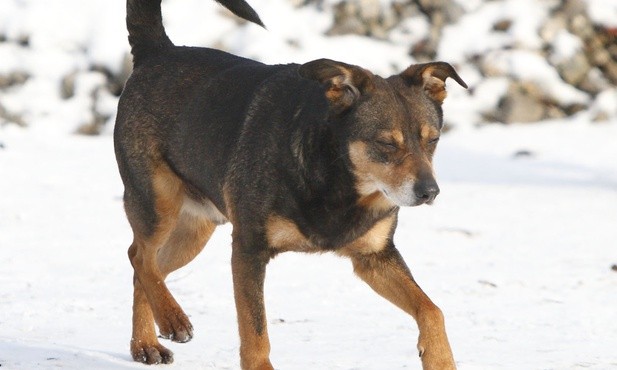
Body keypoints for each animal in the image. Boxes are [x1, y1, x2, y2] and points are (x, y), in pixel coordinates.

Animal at [112, 1, 466, 368]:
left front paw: (439, 358)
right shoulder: (249, 249)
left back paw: (146, 343)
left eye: (433, 140)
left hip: (196, 228)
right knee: (141, 256)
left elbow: (432, 310)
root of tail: (157, 50)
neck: (335, 177)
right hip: (156, 202)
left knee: (148, 266)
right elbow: (255, 331)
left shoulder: (374, 256)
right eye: (386, 144)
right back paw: (171, 320)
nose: (429, 192)